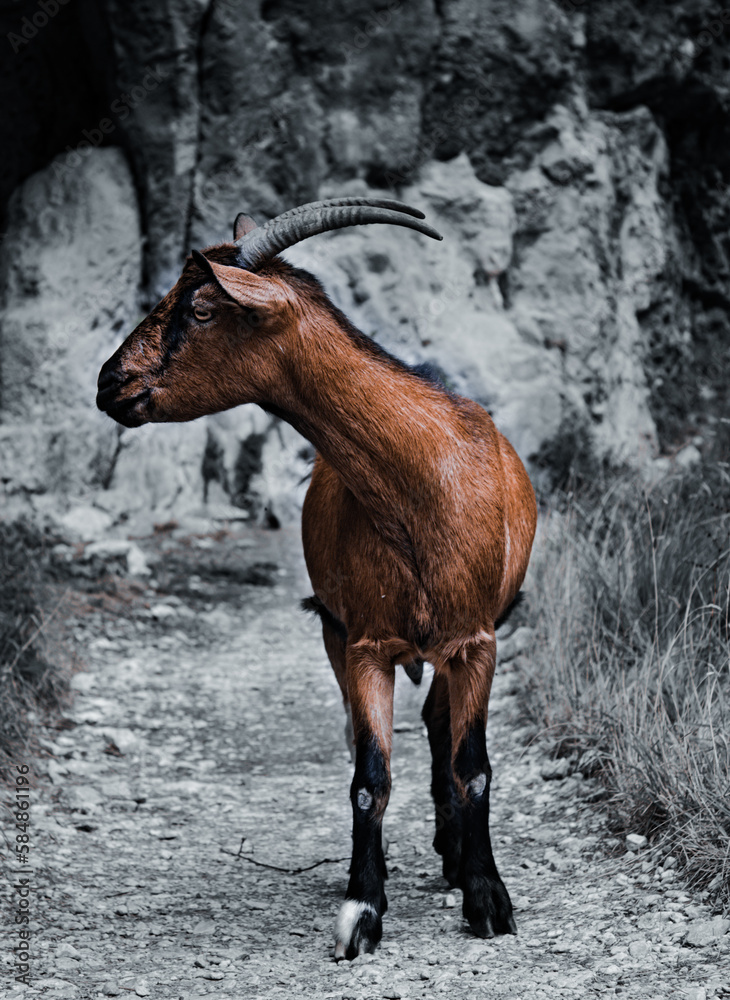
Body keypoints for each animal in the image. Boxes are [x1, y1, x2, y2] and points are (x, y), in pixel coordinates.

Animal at [96, 198, 537, 959]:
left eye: (202, 308)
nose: (109, 383)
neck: (424, 483)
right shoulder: (362, 644)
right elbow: (369, 777)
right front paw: (363, 907)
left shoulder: (479, 641)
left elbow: (474, 766)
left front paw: (487, 897)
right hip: (337, 633)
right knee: (383, 735)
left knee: (440, 725)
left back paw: (454, 854)